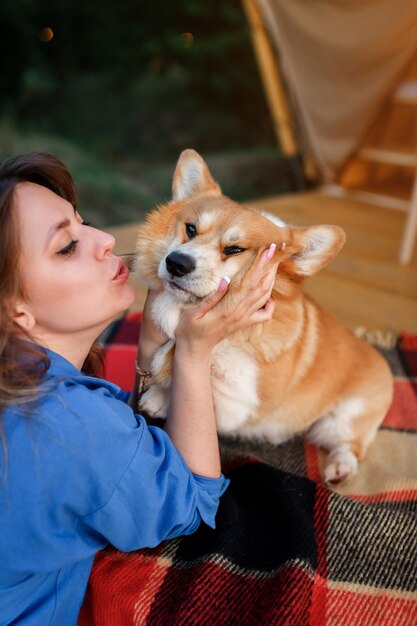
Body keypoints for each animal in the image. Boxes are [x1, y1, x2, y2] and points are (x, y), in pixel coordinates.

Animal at [134, 149, 394, 480]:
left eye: (234, 249)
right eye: (191, 229)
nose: (176, 263)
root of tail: (379, 358)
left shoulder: (237, 400)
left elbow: (202, 388)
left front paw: (163, 396)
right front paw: (158, 393)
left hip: (344, 419)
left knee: (351, 445)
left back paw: (340, 468)